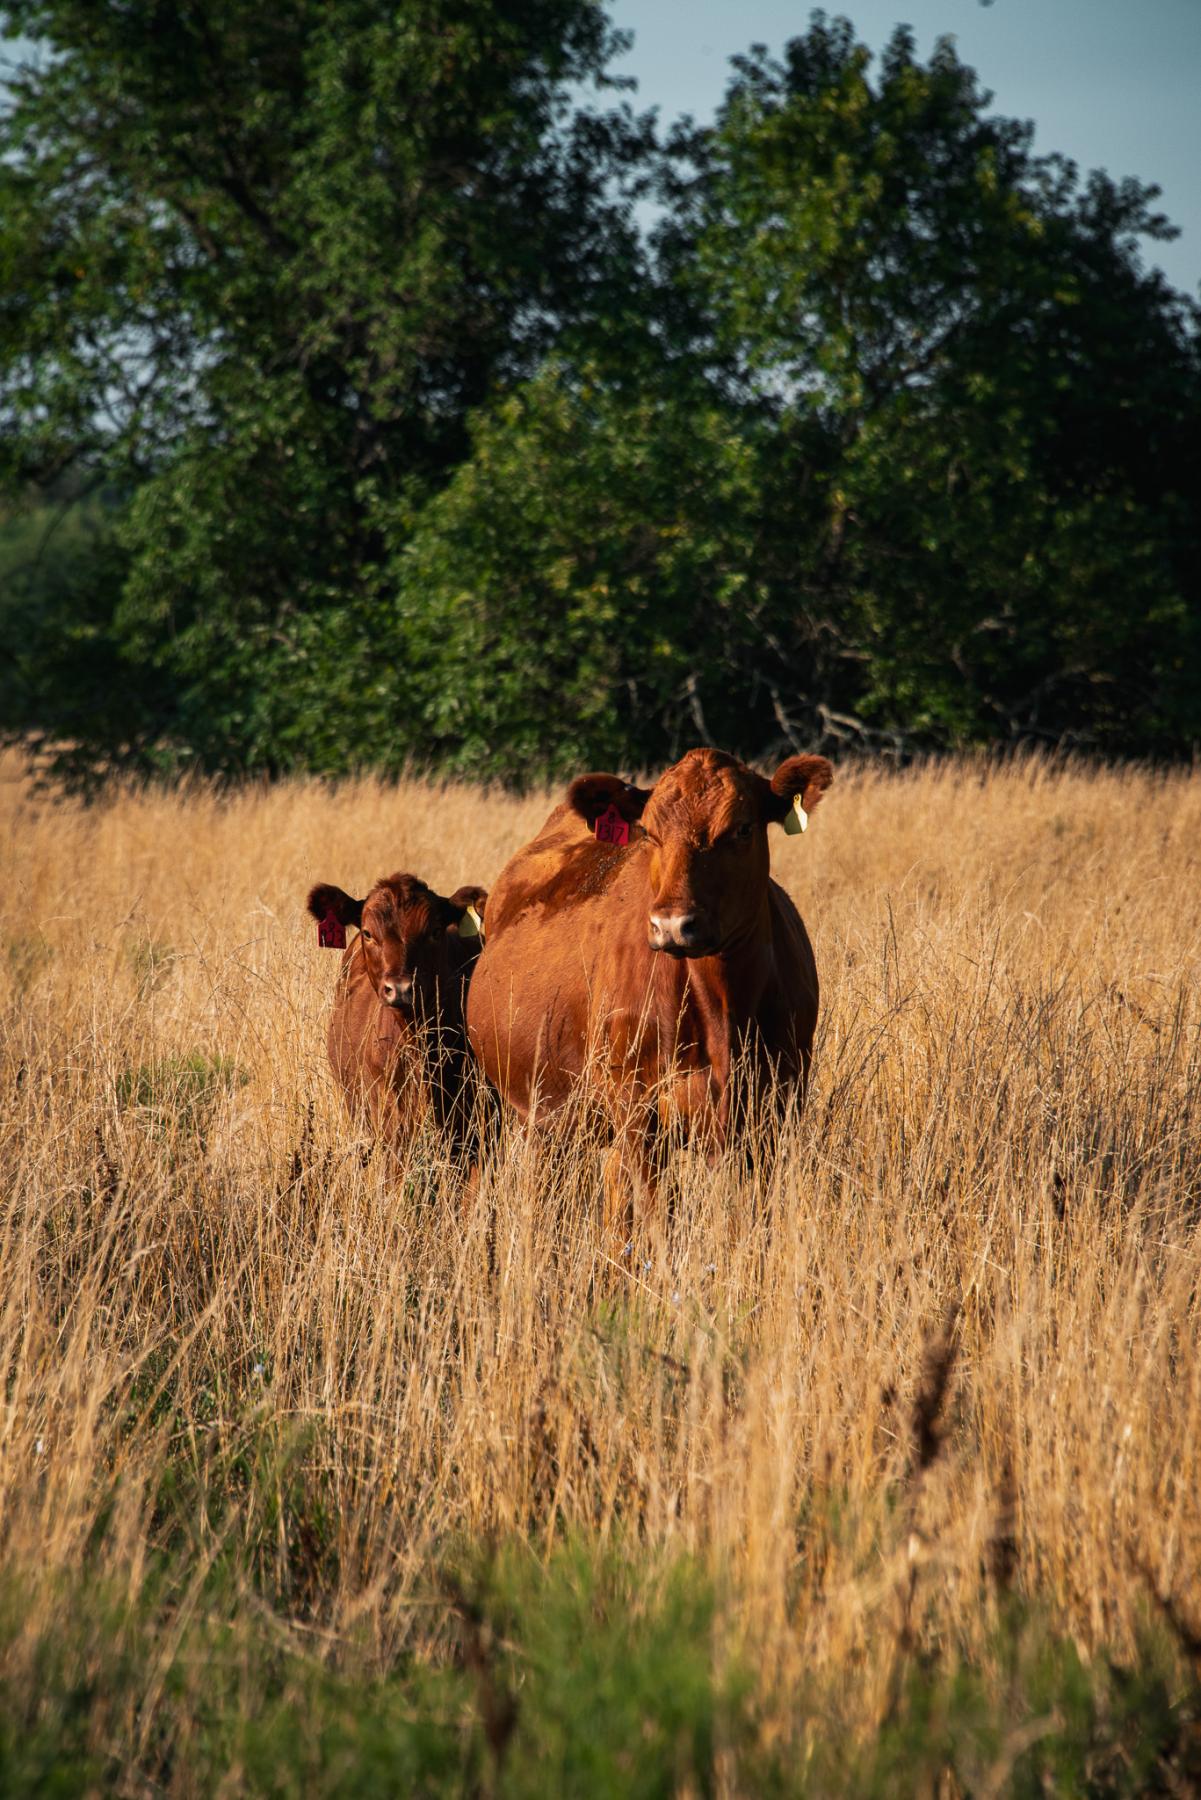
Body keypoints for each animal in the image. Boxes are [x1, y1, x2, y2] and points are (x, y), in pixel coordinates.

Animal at [465, 746, 833, 1241]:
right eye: (650, 833)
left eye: (742, 828)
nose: (673, 925)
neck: (722, 1007)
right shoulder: (640, 1114)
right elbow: (658, 1220)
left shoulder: (773, 1109)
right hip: (527, 1110)